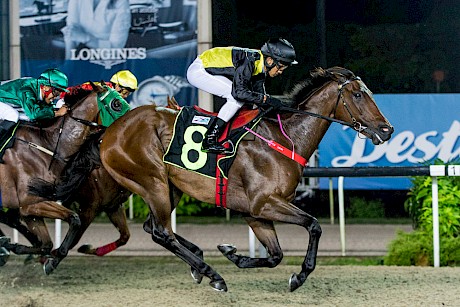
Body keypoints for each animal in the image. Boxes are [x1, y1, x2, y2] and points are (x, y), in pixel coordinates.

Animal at [0, 83, 126, 274]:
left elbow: (46, 243)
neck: (48, 146)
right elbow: (74, 221)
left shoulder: (30, 208)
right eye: (116, 104)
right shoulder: (33, 203)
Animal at [99, 68, 394, 294]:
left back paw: (199, 263)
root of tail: (110, 132)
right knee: (161, 231)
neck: (285, 137)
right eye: (358, 94)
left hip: (169, 188)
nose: (387, 130)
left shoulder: (254, 212)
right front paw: (299, 277)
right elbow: (314, 225)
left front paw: (232, 253)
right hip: (153, 180)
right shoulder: (264, 202)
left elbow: (275, 255)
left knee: (154, 227)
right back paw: (212, 274)